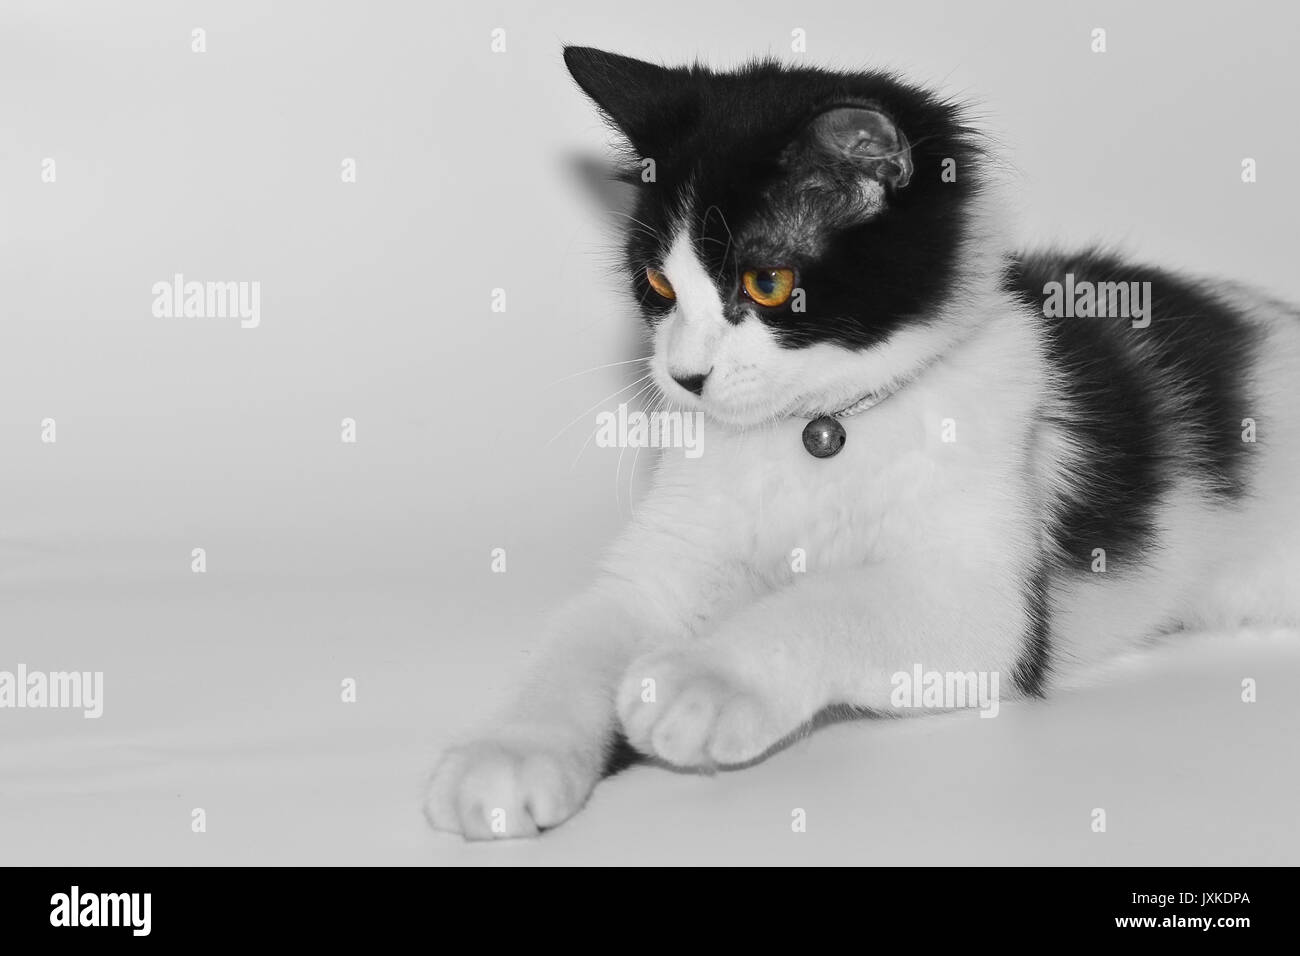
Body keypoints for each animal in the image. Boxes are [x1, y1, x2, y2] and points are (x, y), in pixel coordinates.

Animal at [426, 46, 1300, 837]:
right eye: (659, 285)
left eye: (768, 283)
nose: (683, 377)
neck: (819, 432)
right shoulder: (663, 566)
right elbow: (583, 636)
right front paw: (507, 749)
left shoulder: (985, 601)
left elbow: (833, 600)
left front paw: (706, 675)